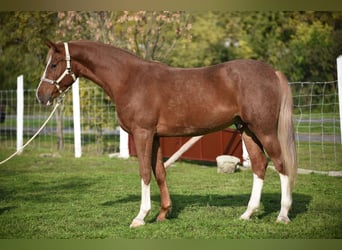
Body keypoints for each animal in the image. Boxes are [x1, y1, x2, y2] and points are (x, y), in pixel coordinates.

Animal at [35, 40, 296, 227]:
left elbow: (144, 173)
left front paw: (141, 216)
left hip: (265, 131)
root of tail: (272, 72)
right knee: (260, 165)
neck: (129, 79)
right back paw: (247, 214)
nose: (41, 95)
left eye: (54, 64)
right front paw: (163, 213)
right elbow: (159, 172)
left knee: (281, 164)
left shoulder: (142, 134)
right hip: (247, 131)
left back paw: (282, 215)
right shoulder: (156, 137)